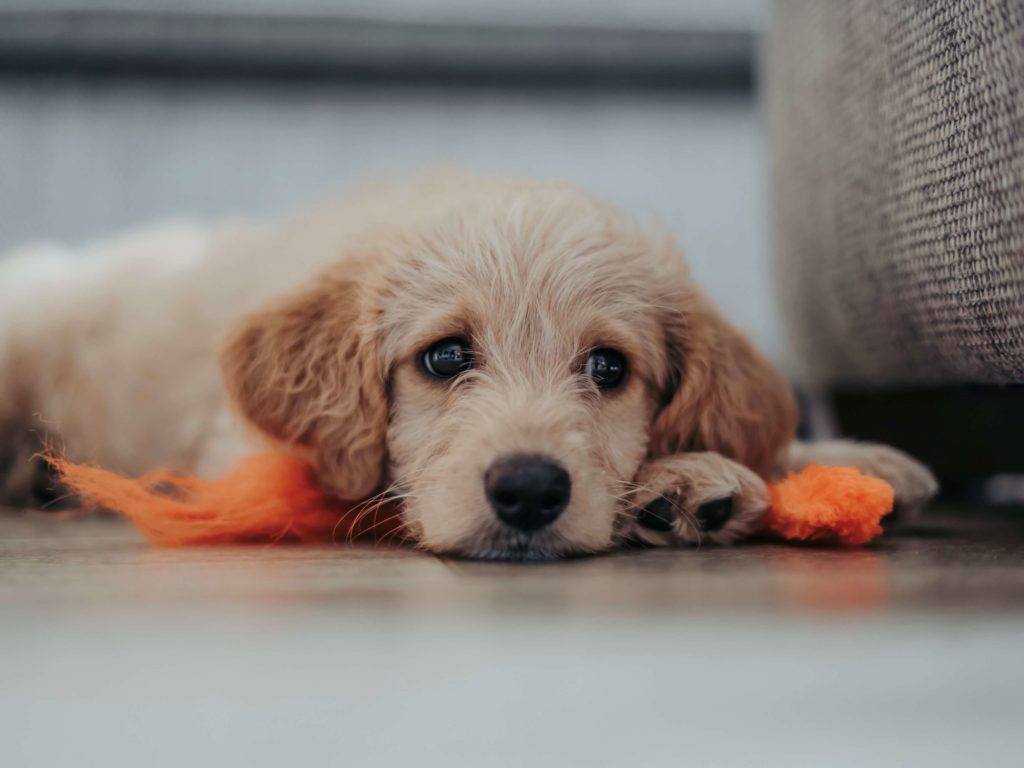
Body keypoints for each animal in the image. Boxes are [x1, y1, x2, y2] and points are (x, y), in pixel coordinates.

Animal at [0, 173, 937, 561]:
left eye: (608, 368)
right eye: (445, 357)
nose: (528, 491)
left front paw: (841, 459)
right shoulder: (253, 459)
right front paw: (687, 479)